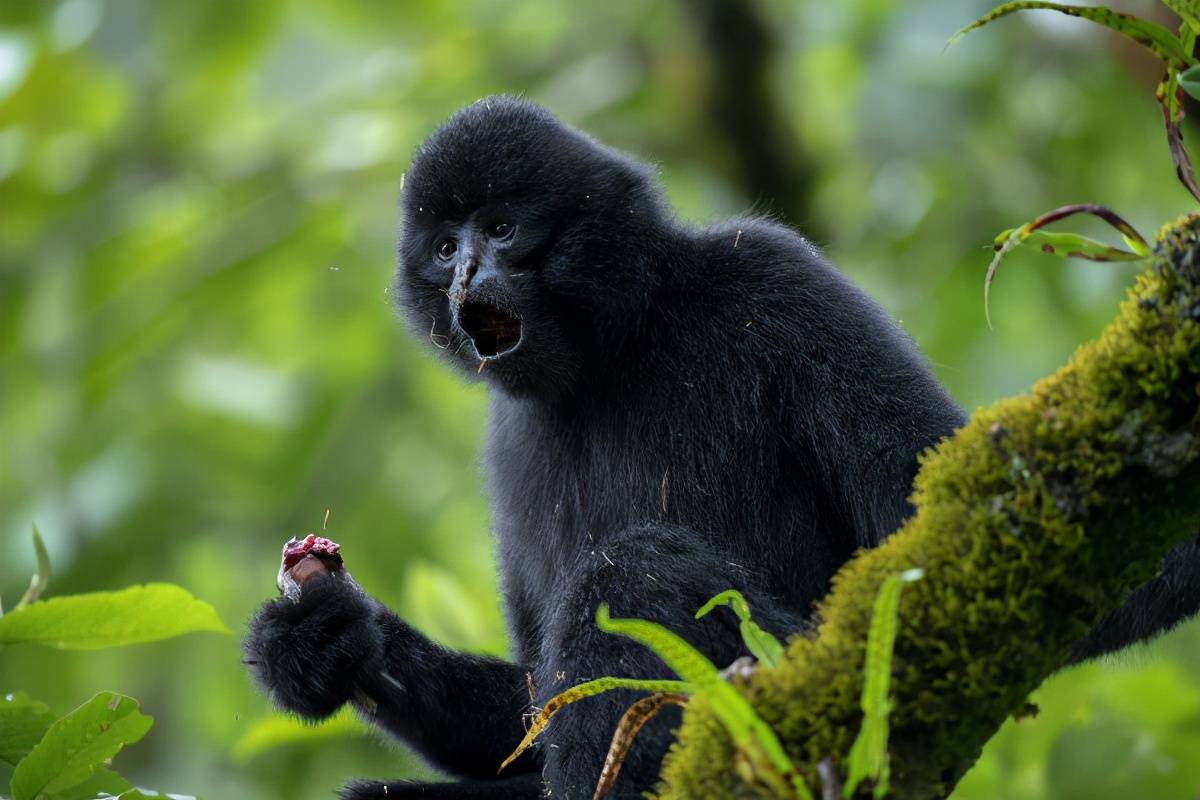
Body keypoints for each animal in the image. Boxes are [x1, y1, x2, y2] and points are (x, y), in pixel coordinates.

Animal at [243, 97, 1200, 796]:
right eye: (445, 248)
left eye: (502, 229)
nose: (468, 275)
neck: (620, 351)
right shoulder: (508, 439)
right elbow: (525, 719)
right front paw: (326, 638)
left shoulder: (776, 278)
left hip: (804, 668)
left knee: (631, 571)